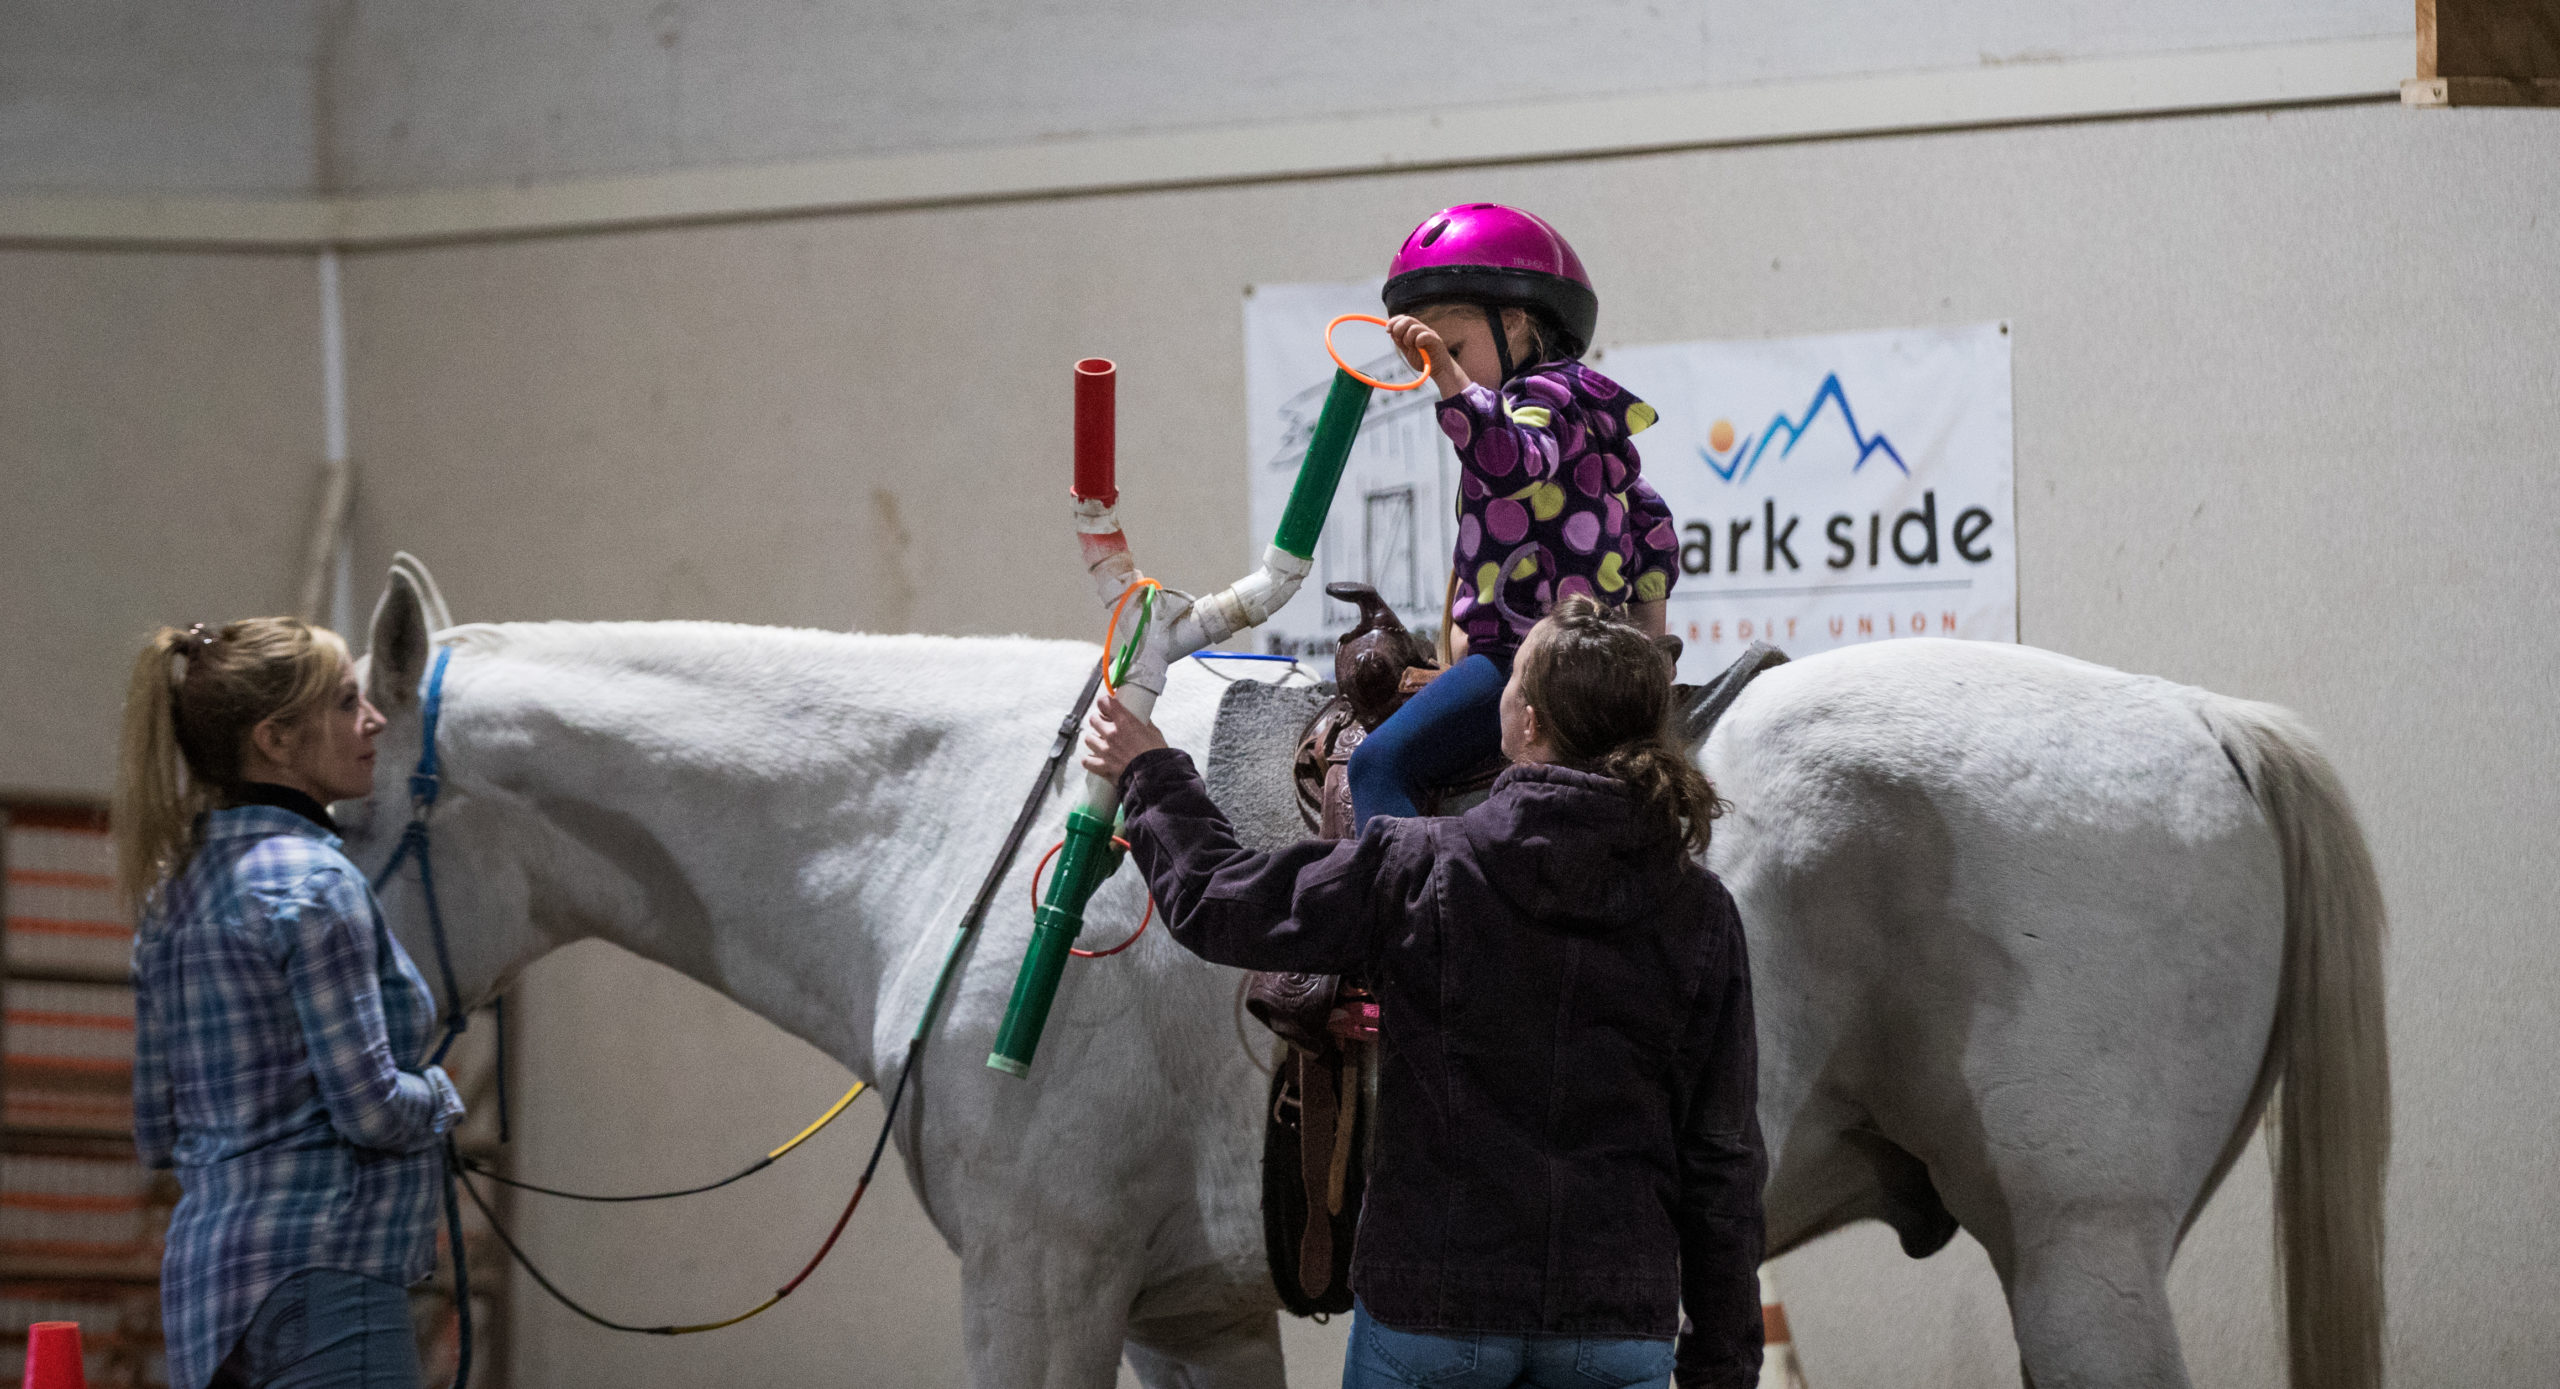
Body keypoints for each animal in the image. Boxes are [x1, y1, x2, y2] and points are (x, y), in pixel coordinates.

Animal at [345, 562, 2375, 1389]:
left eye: (332, 798)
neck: (957, 826)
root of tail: (2208, 720)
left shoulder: (1036, 1283)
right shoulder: (1187, 1311)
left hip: (2084, 1253)